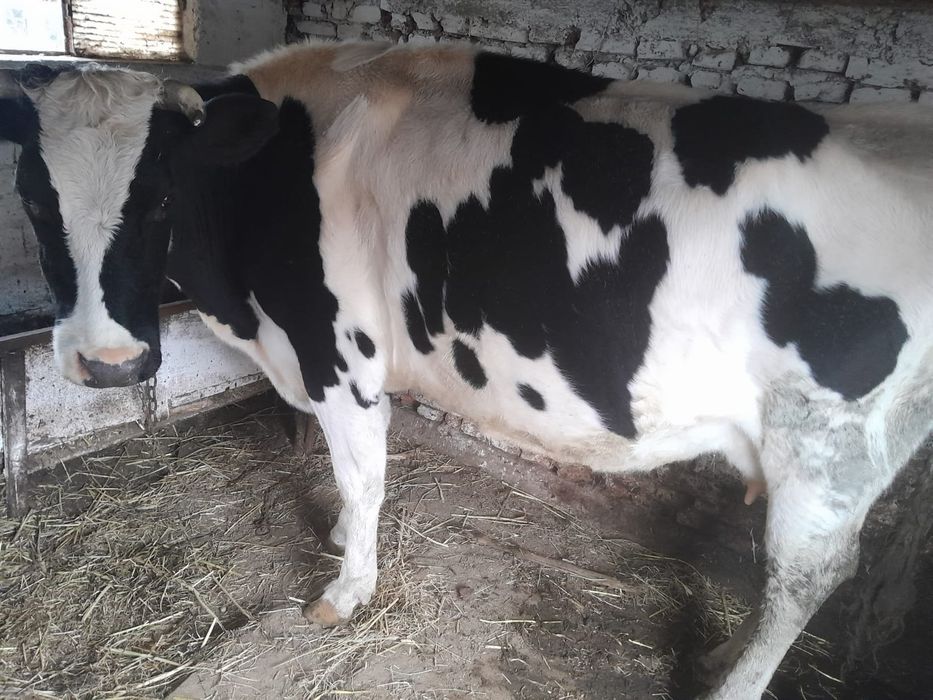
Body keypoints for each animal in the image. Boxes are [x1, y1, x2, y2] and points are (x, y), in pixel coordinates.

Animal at [1, 41, 931, 699]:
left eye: (159, 196)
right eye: (35, 202)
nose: (107, 364)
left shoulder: (338, 356)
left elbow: (364, 473)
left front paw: (346, 587)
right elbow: (356, 481)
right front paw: (343, 539)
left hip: (826, 446)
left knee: (804, 577)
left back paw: (731, 685)